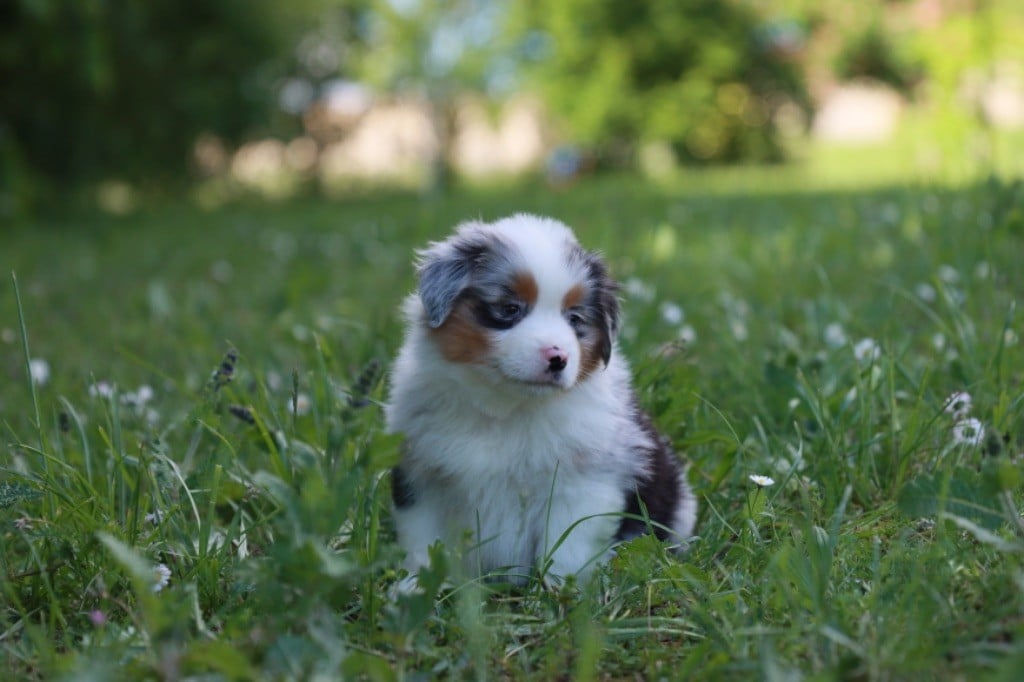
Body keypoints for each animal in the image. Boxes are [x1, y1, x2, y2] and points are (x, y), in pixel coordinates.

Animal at [385, 214, 696, 585]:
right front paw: (416, 585)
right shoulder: (421, 475)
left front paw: (561, 590)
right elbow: (423, 540)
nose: (558, 358)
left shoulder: (582, 485)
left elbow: (567, 547)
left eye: (574, 319)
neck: (506, 408)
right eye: (510, 309)